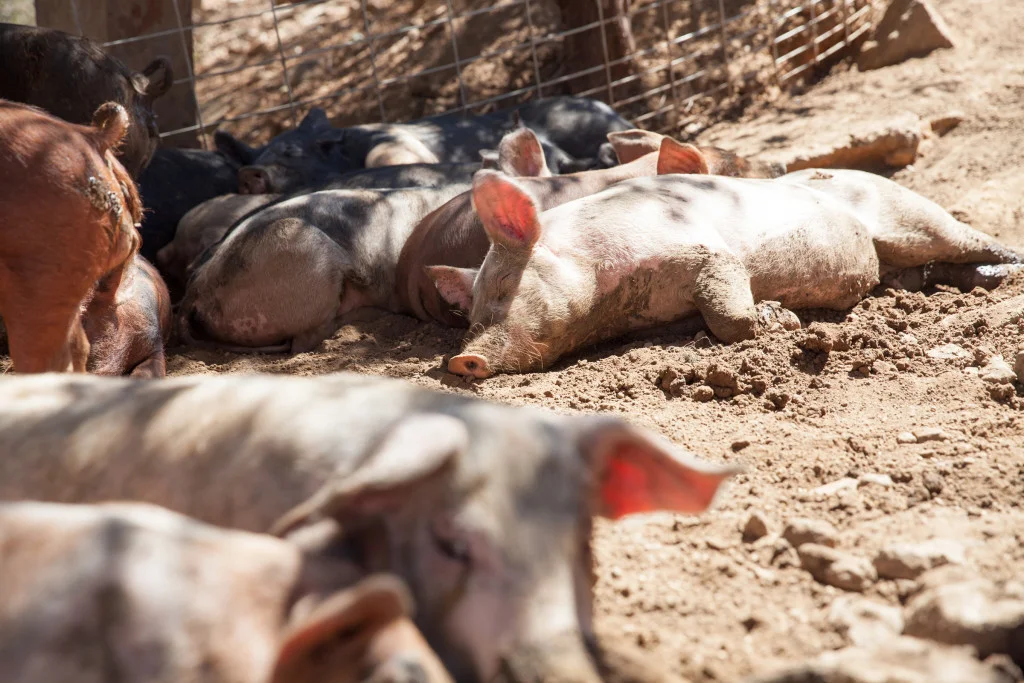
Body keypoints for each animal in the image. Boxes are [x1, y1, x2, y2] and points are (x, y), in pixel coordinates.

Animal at [433, 147, 1023, 377]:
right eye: (470, 313)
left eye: (505, 287)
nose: (462, 360)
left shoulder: (706, 251)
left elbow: (729, 313)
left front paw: (780, 319)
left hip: (916, 217)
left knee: (969, 238)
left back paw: (1007, 271)